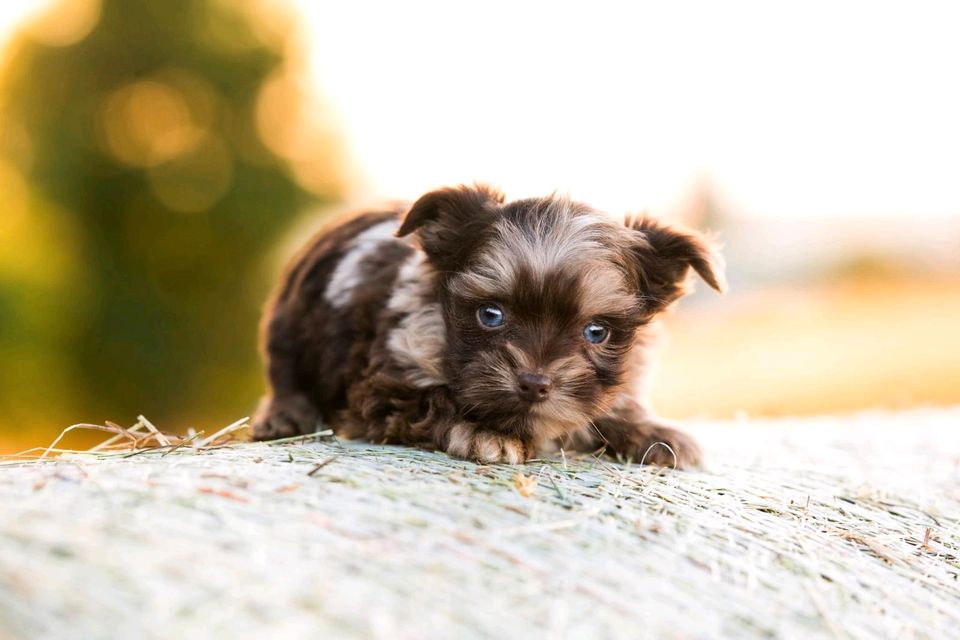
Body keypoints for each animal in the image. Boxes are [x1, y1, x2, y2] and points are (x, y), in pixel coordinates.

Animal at [251, 182, 724, 468]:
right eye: (490, 315)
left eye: (597, 331)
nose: (534, 384)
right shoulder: (384, 386)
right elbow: (434, 400)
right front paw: (485, 432)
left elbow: (613, 407)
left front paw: (655, 433)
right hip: (289, 329)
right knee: (285, 376)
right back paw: (284, 419)